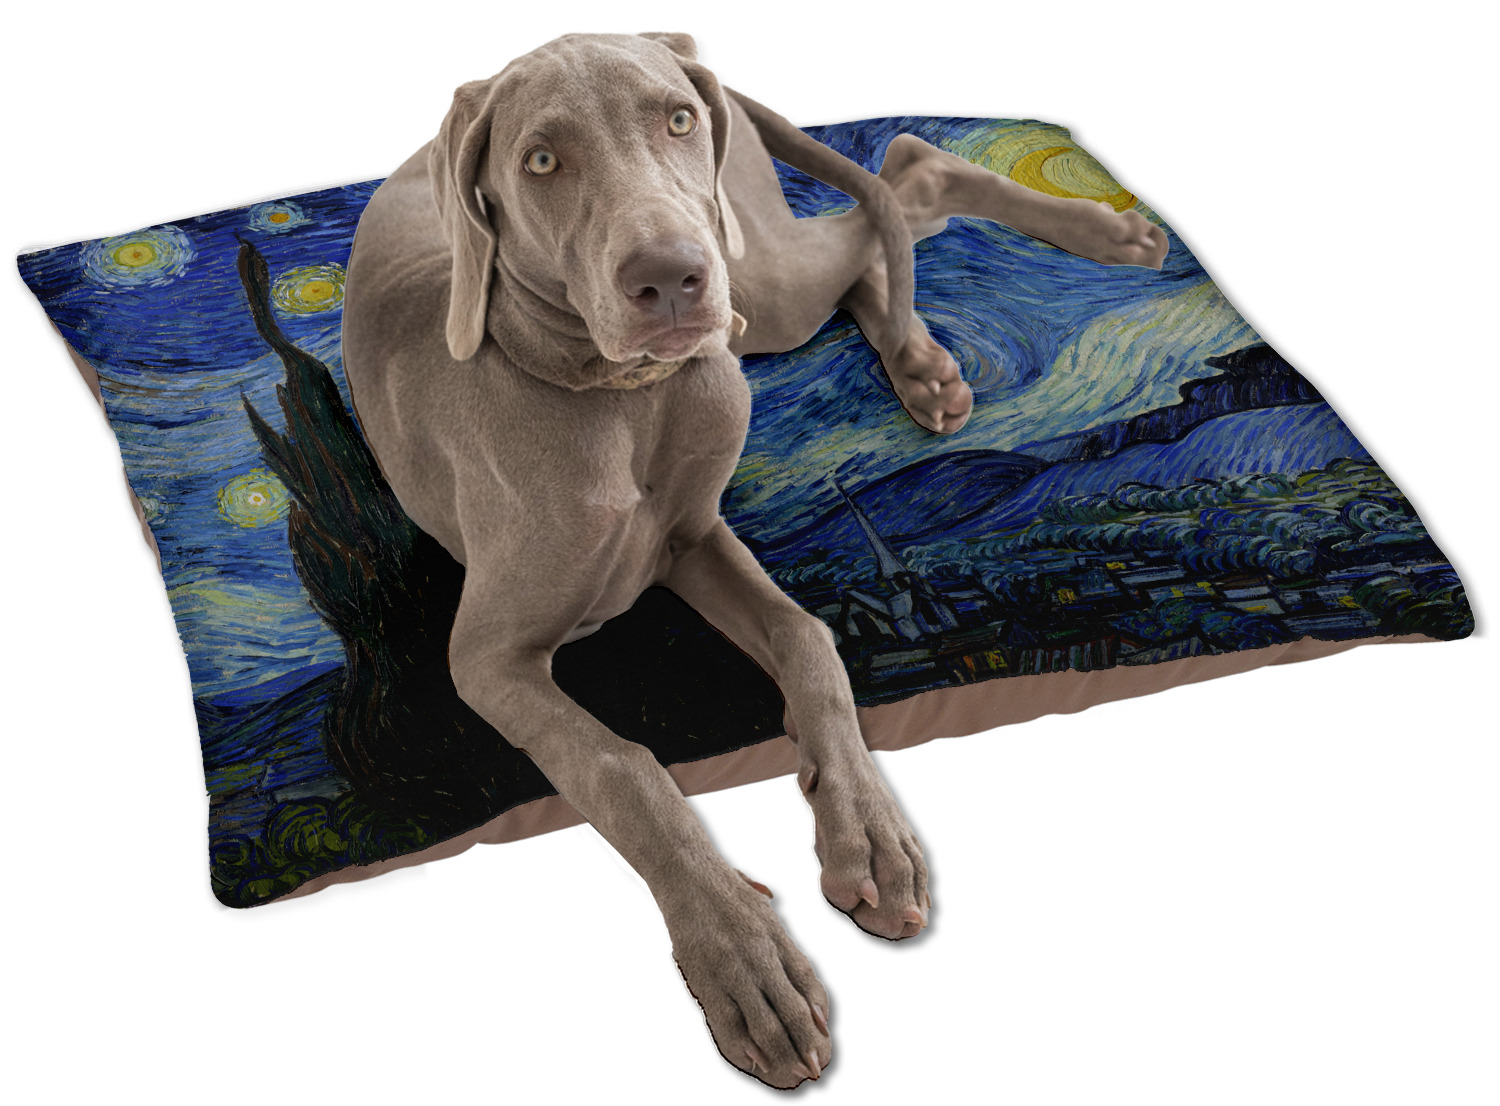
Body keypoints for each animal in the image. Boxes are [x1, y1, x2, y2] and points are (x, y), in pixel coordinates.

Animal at [341, 31, 1166, 1088]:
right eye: (541, 161)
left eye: (675, 121)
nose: (670, 279)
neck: (622, 399)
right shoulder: (488, 657)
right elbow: (624, 768)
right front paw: (742, 958)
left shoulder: (697, 539)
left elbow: (809, 638)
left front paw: (870, 834)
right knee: (886, 210)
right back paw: (931, 356)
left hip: (756, 279)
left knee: (900, 177)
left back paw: (1098, 240)